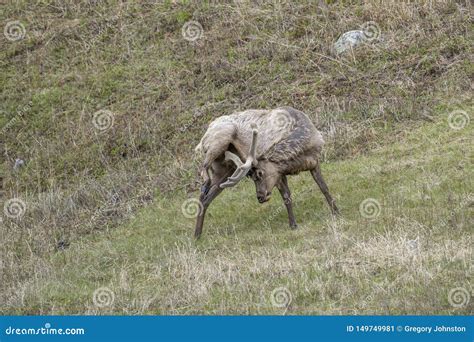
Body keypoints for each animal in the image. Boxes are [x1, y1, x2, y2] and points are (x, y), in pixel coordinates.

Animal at [194, 107, 338, 238]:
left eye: (260, 174)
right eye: (252, 177)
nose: (260, 197)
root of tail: (202, 139)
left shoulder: (314, 162)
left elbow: (324, 187)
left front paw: (336, 211)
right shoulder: (279, 173)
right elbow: (286, 197)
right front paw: (293, 224)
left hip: (224, 169)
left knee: (205, 198)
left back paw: (197, 234)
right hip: (220, 140)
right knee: (203, 169)